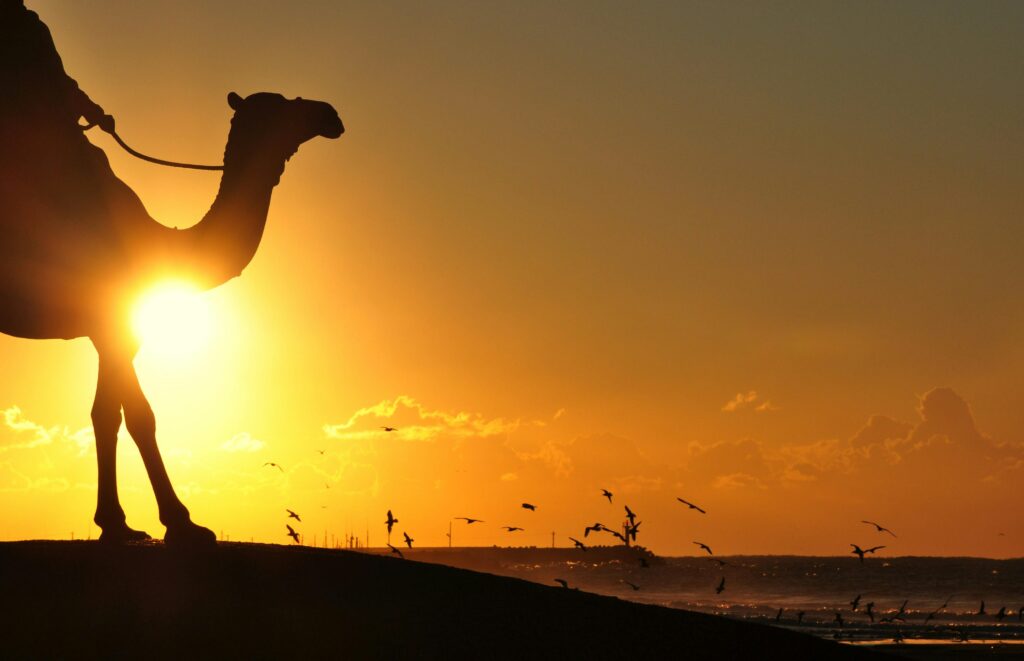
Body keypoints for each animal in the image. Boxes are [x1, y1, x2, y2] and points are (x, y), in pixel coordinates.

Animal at [0, 90, 343, 545]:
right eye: (284, 104)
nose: (330, 114)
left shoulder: (116, 329)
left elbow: (106, 415)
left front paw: (116, 523)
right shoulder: (110, 319)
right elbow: (140, 416)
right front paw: (183, 522)